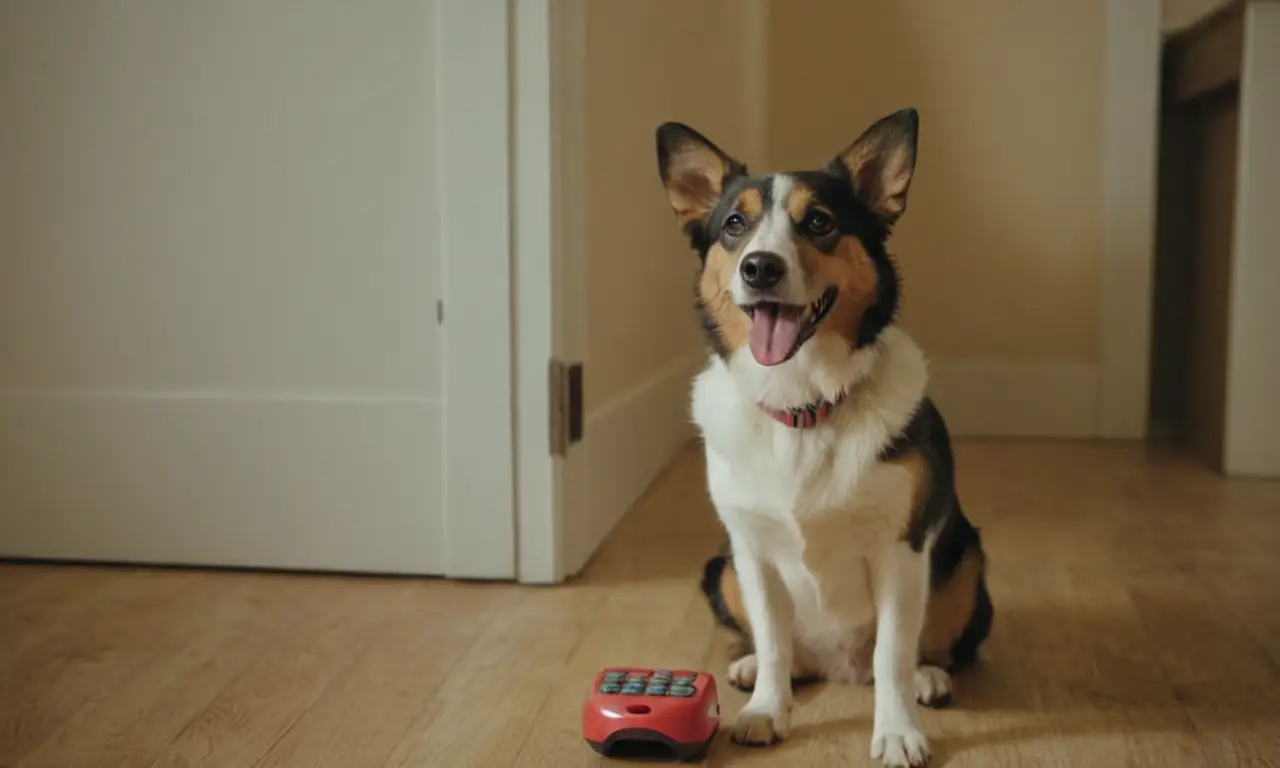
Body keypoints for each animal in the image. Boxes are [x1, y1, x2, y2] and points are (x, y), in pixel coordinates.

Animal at [653, 108, 993, 767]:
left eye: (819, 222)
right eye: (734, 225)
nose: (759, 267)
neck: (803, 406)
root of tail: (840, 668)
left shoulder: (901, 548)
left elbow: (893, 651)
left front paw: (897, 731)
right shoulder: (751, 550)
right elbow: (773, 635)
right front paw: (766, 709)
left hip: (966, 558)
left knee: (923, 649)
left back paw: (928, 678)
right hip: (720, 566)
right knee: (788, 649)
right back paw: (756, 669)